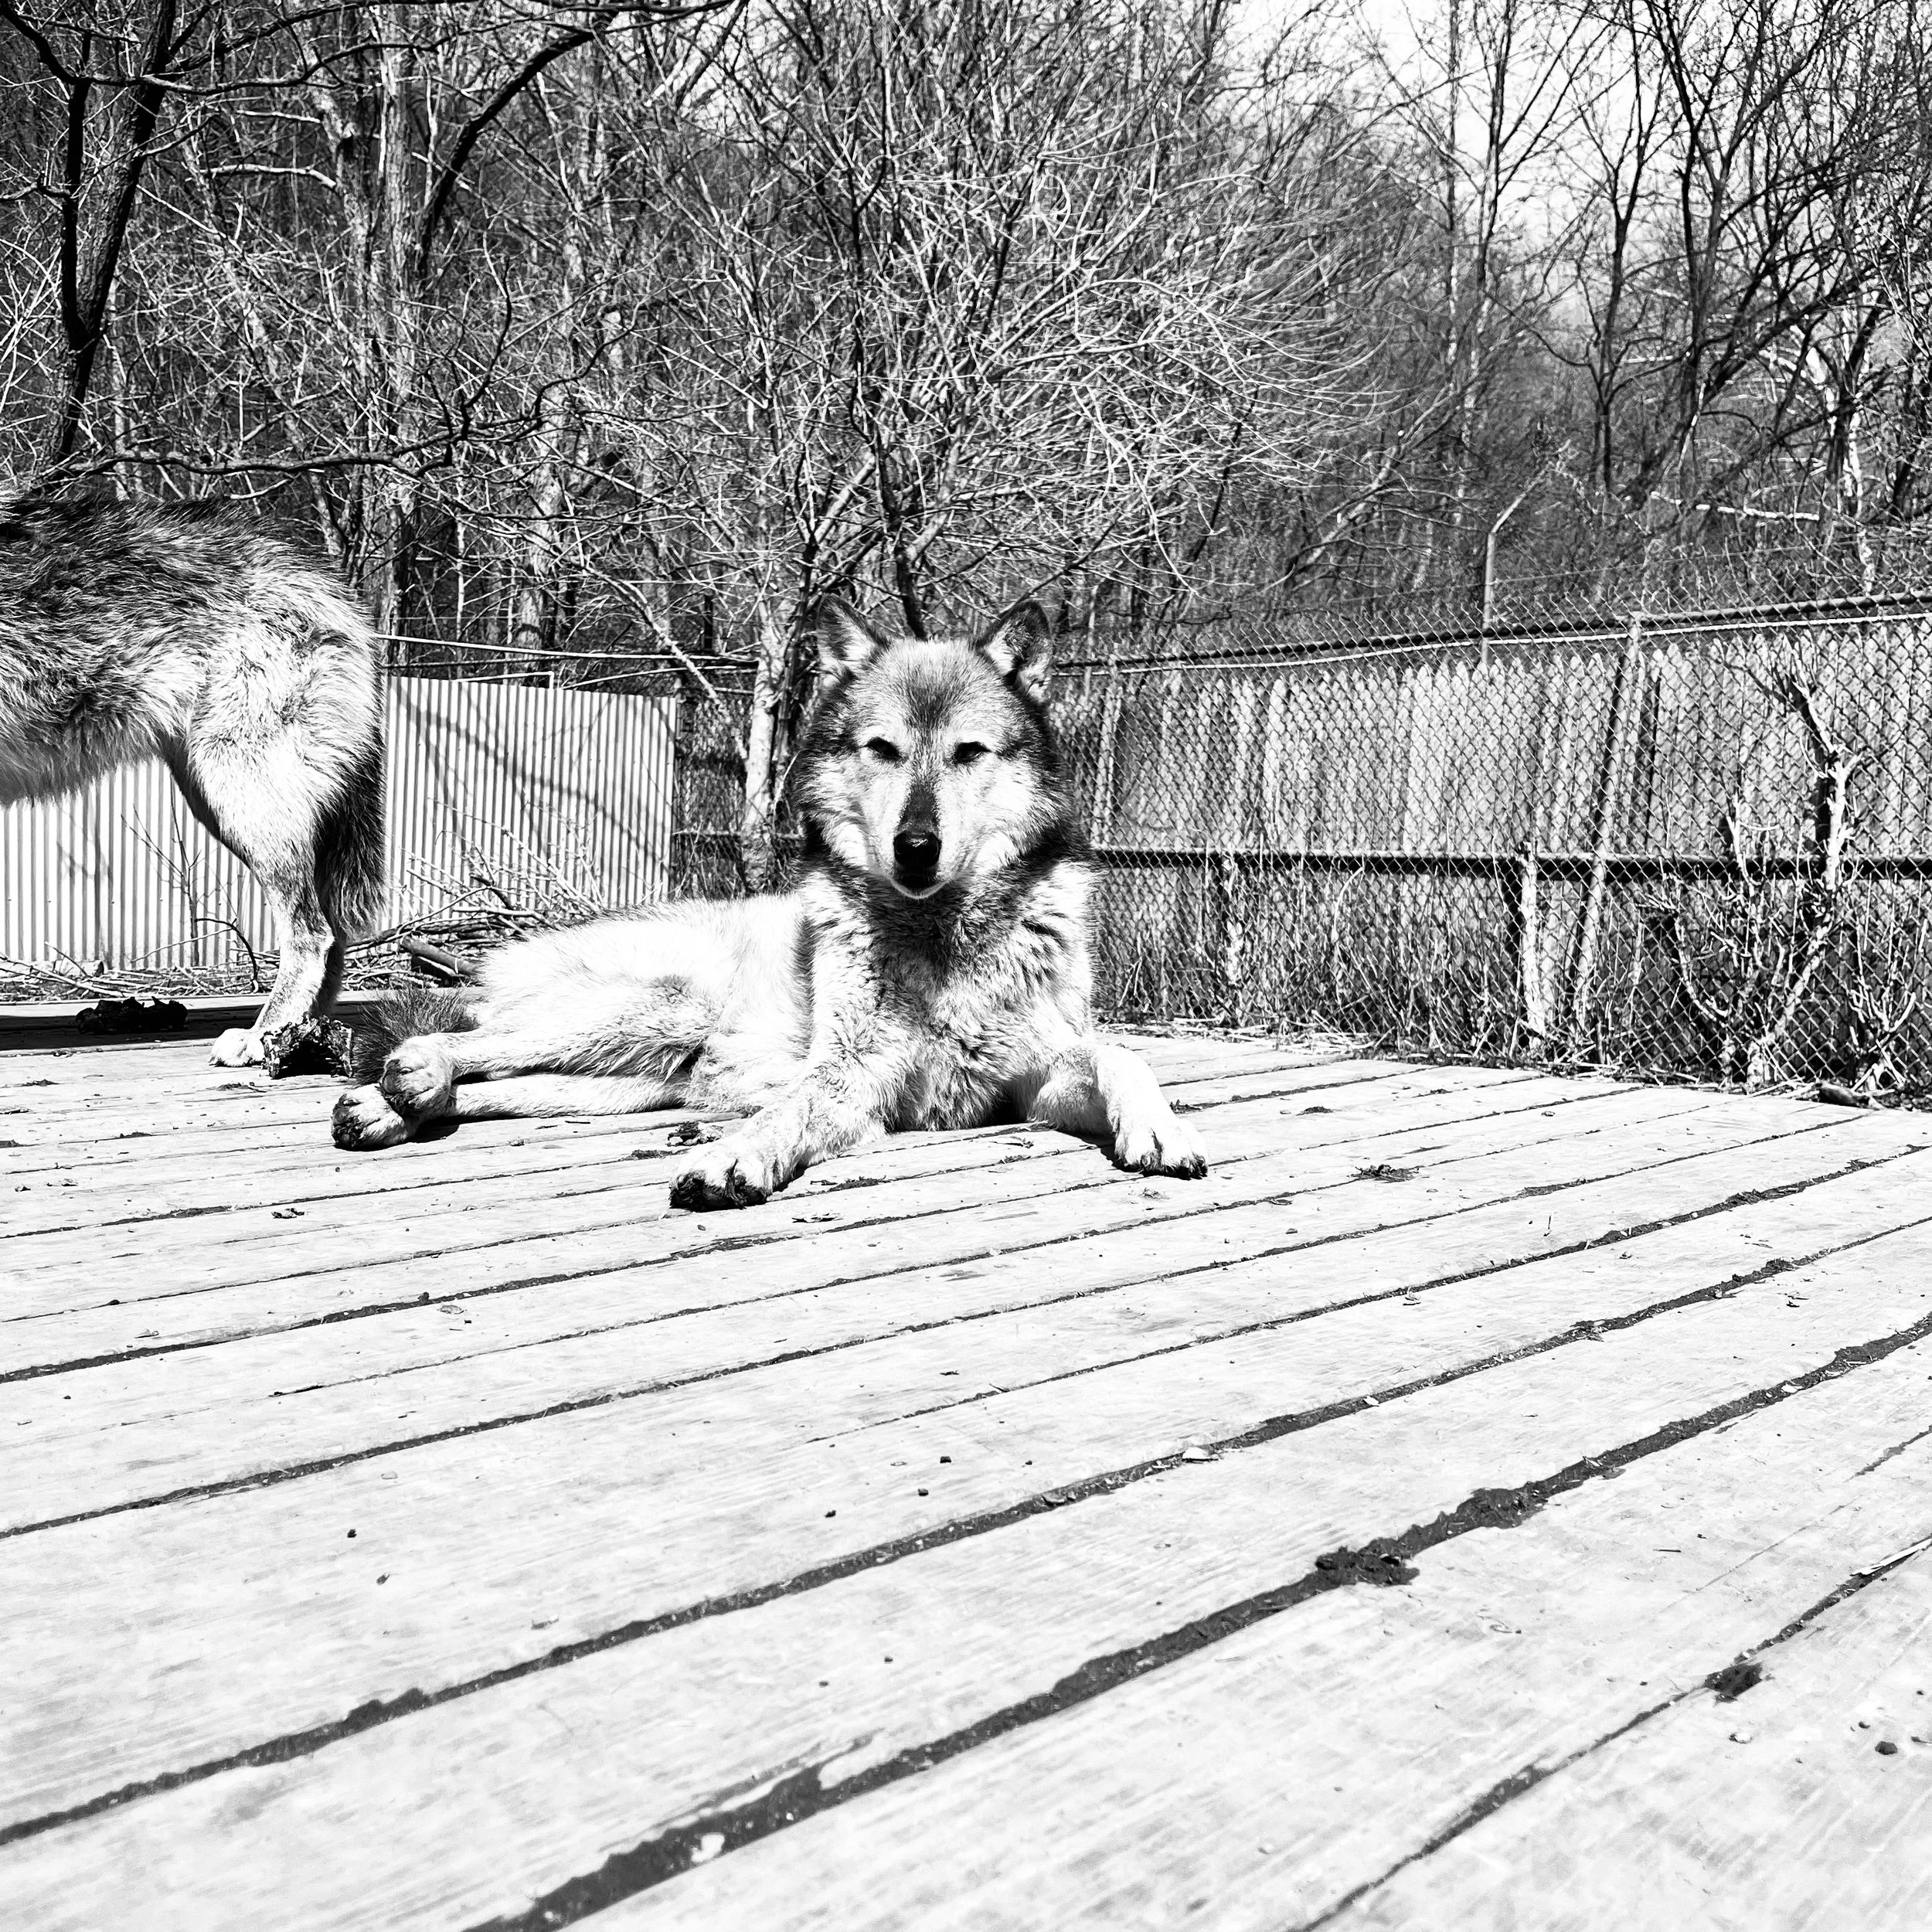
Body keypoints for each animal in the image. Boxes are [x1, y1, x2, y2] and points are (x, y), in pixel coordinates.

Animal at [0, 490, 385, 1065]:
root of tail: (326, 581)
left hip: (242, 798)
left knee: (312, 934)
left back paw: (262, 1037)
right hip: (215, 800)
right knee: (332, 937)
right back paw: (296, 1038)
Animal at [333, 598, 1207, 1207]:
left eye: (969, 753)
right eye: (883, 749)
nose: (915, 846)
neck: (939, 932)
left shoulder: (1031, 1083)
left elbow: (1119, 1053)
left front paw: (1161, 1130)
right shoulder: (852, 1077)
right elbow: (786, 1112)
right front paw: (731, 1157)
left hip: (619, 1084)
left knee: (493, 1086)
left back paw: (390, 1106)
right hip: (655, 1009)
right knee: (466, 1043)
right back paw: (406, 1079)